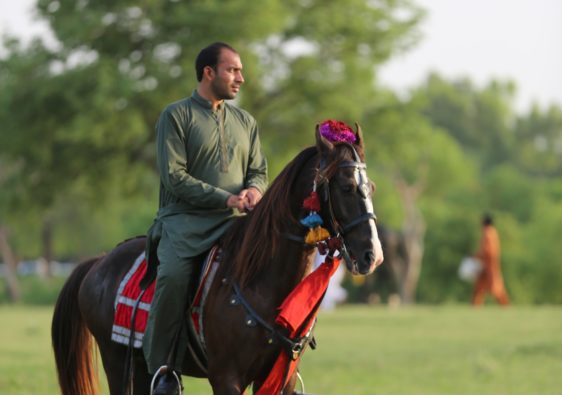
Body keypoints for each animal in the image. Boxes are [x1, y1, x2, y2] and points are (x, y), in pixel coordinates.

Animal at [51, 127, 380, 395]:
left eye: (371, 187)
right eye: (346, 186)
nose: (372, 255)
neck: (257, 282)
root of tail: (98, 263)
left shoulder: (279, 379)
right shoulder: (226, 378)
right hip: (118, 362)